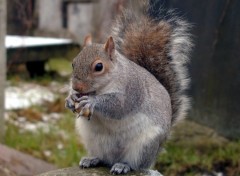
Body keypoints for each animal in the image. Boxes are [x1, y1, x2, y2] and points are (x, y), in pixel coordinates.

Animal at [64, 1, 192, 175]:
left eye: (99, 66)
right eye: (73, 63)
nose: (77, 87)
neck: (102, 87)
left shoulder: (132, 90)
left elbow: (119, 106)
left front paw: (91, 102)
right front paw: (70, 99)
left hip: (144, 145)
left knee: (135, 164)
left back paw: (122, 166)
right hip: (93, 140)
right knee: (103, 158)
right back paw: (92, 159)